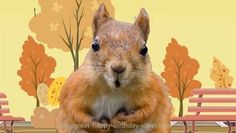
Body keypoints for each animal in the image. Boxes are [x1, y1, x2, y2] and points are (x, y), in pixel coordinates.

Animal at [56, 3, 172, 133]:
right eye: (94, 45)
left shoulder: (153, 89)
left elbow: (150, 107)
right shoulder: (75, 88)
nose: (118, 68)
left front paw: (124, 120)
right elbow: (73, 109)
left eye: (144, 49)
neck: (113, 90)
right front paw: (98, 126)